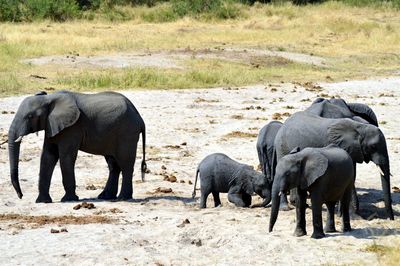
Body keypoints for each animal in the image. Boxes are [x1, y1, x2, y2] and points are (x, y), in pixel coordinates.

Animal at [8, 90, 147, 203]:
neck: (49, 98)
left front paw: (68, 200)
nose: (21, 196)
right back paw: (105, 197)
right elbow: (48, 157)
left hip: (127, 132)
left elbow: (66, 157)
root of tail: (140, 118)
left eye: (30, 116)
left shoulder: (72, 128)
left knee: (125, 164)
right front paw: (42, 201)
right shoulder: (51, 125)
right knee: (113, 165)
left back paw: (123, 198)